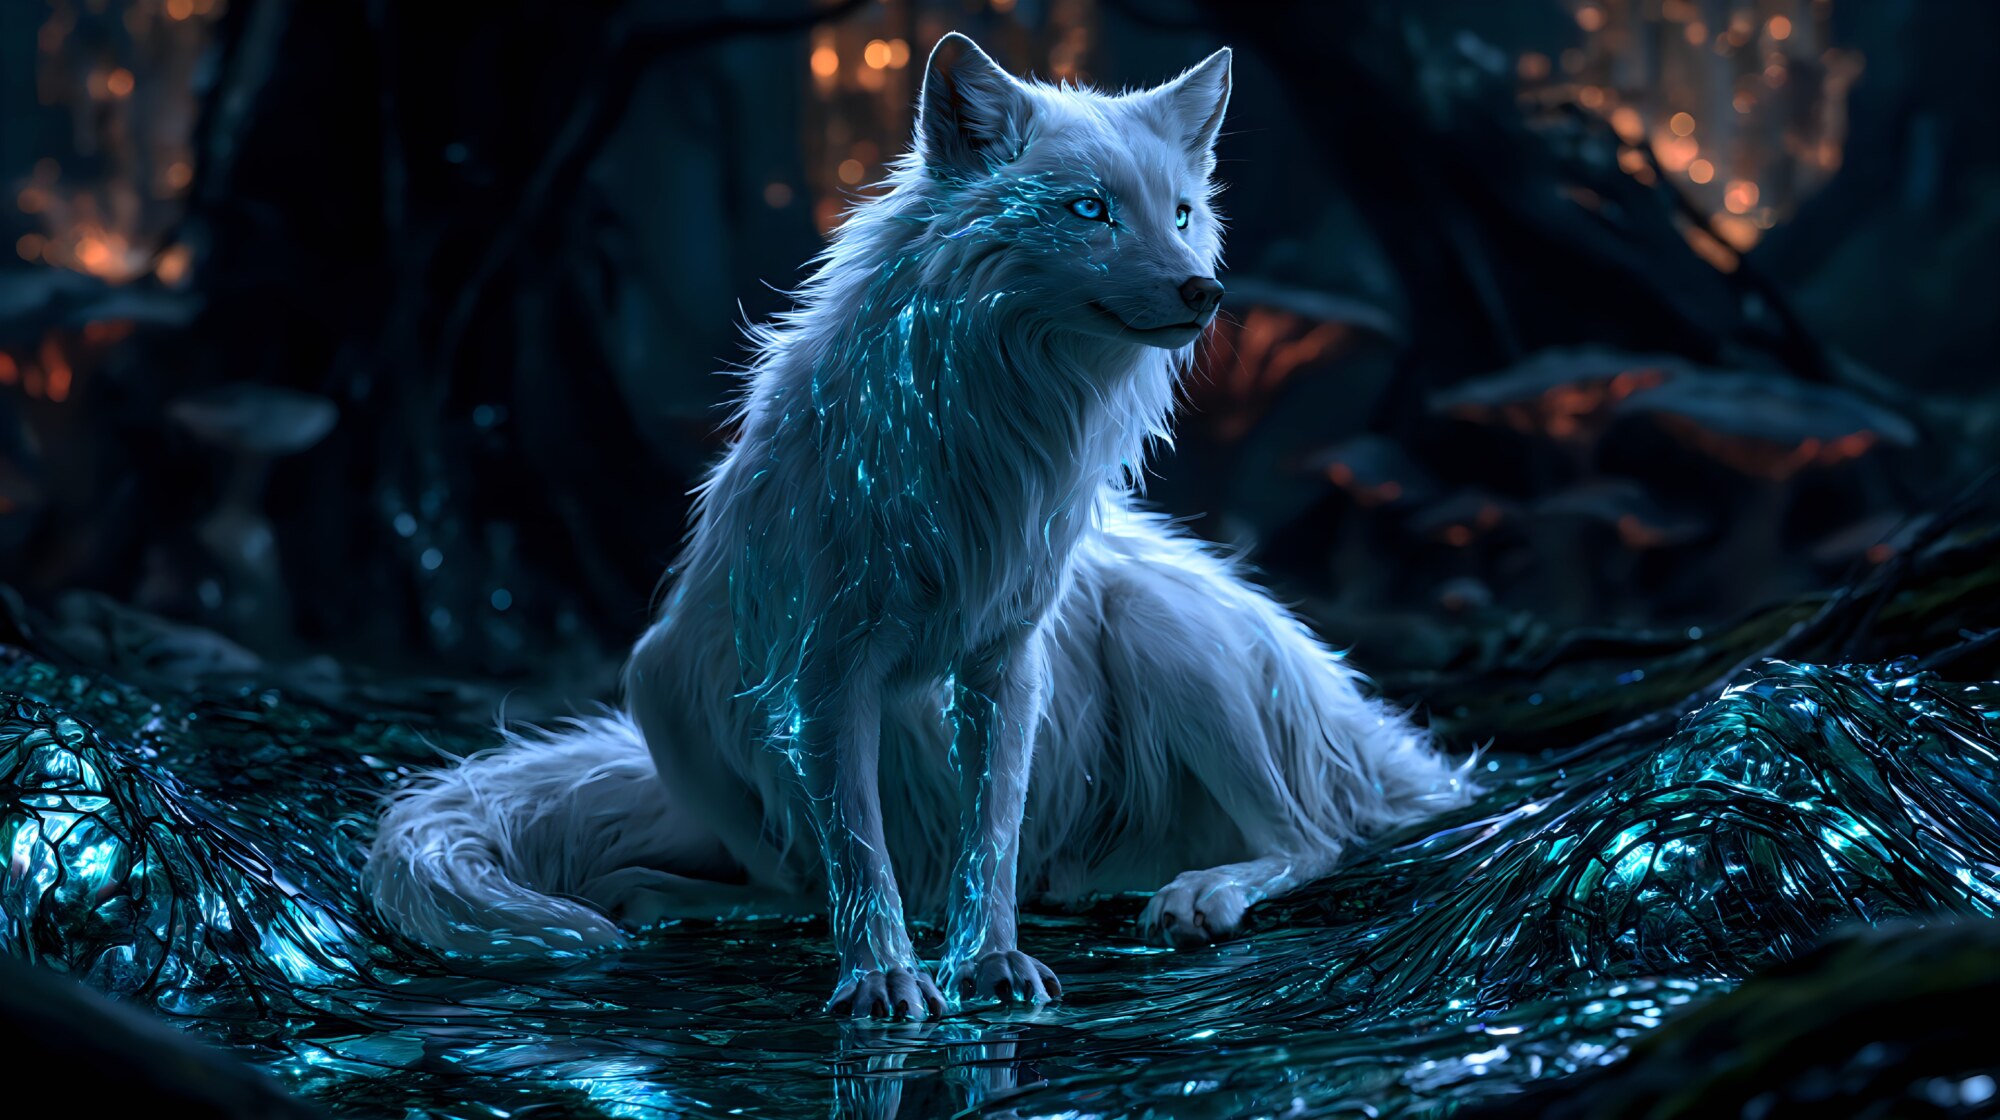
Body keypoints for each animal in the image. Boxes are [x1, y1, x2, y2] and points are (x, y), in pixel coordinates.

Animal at [366, 33, 1470, 1020]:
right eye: (1089, 210)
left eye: (1185, 214)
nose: (1206, 290)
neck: (993, 430)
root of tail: (1372, 739)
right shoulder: (824, 676)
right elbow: (859, 857)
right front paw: (885, 981)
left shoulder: (1005, 664)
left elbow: (991, 834)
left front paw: (989, 966)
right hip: (666, 683)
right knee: (797, 885)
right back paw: (660, 894)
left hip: (1164, 631)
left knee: (1311, 836)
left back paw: (1194, 892)